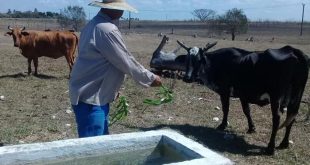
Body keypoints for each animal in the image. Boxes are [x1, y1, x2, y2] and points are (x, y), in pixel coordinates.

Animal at [178, 41, 308, 155]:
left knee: (277, 119)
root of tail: (292, 50)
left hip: (276, 98)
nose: (187, 78)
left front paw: (223, 125)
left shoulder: (224, 92)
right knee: (291, 116)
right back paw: (284, 143)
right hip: (296, 97)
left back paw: (270, 148)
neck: (217, 62)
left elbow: (226, 109)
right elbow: (247, 111)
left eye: (199, 60)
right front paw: (251, 128)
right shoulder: (243, 95)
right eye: (187, 60)